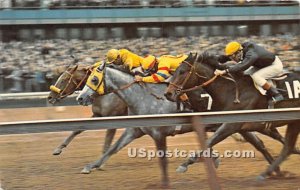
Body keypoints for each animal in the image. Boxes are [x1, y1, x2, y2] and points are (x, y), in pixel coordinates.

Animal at [164, 52, 300, 180]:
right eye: (174, 71)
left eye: (182, 72)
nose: (168, 94)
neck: (233, 90)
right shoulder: (242, 126)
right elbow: (260, 143)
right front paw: (279, 171)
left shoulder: (232, 125)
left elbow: (209, 141)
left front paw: (184, 164)